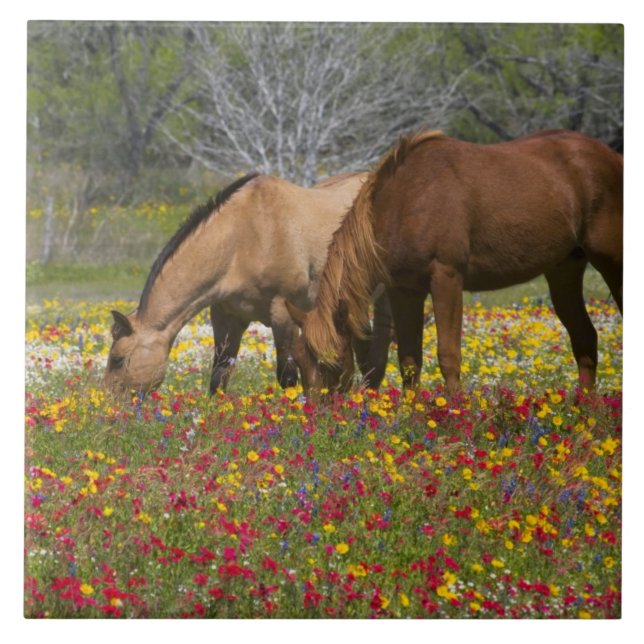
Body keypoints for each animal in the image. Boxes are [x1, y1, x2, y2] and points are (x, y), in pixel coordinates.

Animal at [104, 172, 393, 395]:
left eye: (117, 359)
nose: (111, 406)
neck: (246, 238)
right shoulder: (226, 317)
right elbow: (219, 375)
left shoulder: (283, 315)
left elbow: (288, 376)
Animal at [286, 129, 623, 395]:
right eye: (299, 361)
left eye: (330, 362)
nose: (317, 415)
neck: (406, 200)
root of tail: (610, 157)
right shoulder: (404, 290)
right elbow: (409, 359)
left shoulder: (446, 278)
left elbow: (448, 355)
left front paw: (452, 413)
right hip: (564, 270)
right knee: (584, 338)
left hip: (611, 261)